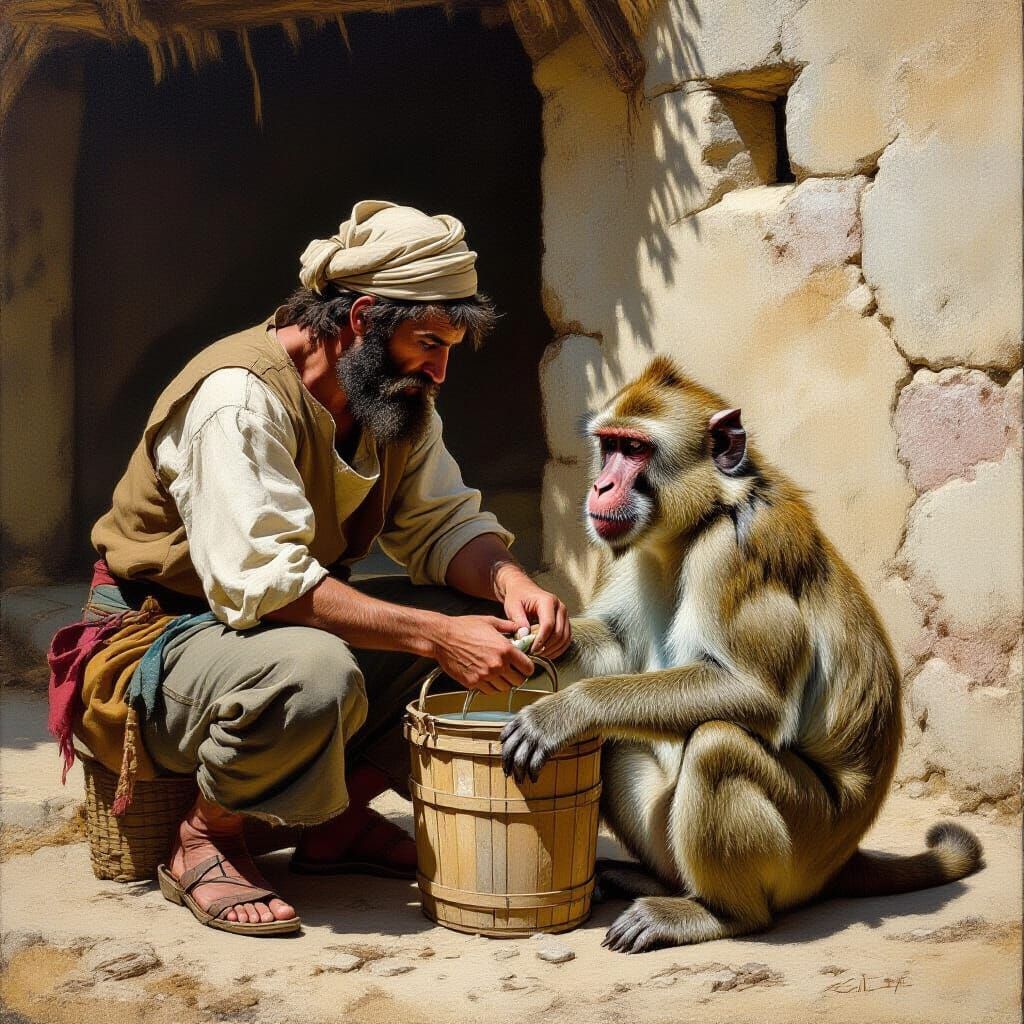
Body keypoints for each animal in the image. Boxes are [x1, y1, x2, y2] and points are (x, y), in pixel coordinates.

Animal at [501, 355, 983, 953]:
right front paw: (525, 638)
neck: (696, 522)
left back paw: (721, 914)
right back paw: (659, 882)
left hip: (805, 844)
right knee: (622, 738)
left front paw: (565, 710)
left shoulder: (733, 555)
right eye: (608, 445)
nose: (601, 484)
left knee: (718, 747)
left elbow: (755, 696)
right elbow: (614, 646)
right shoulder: (633, 548)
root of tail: (841, 858)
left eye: (635, 450)